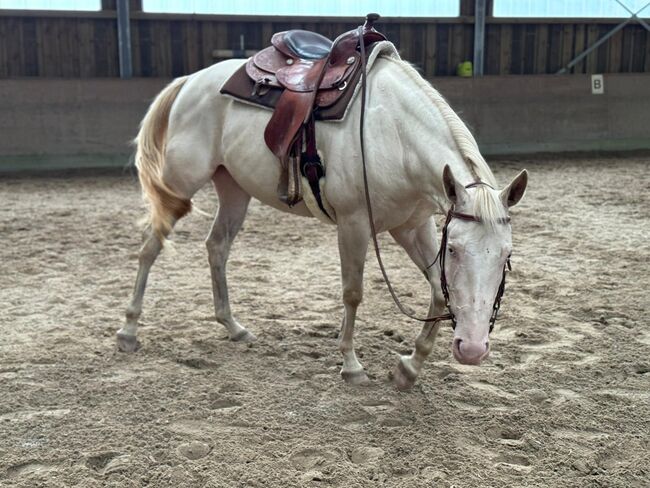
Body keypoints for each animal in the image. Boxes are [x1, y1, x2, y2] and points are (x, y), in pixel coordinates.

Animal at [116, 44, 524, 388]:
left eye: (506, 257)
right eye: (454, 250)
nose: (472, 350)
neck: (395, 132)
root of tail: (191, 81)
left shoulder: (413, 226)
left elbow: (439, 295)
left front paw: (408, 369)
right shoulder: (354, 223)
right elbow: (353, 293)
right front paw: (351, 365)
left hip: (233, 188)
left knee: (216, 246)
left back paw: (233, 327)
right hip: (180, 185)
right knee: (150, 246)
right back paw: (128, 331)